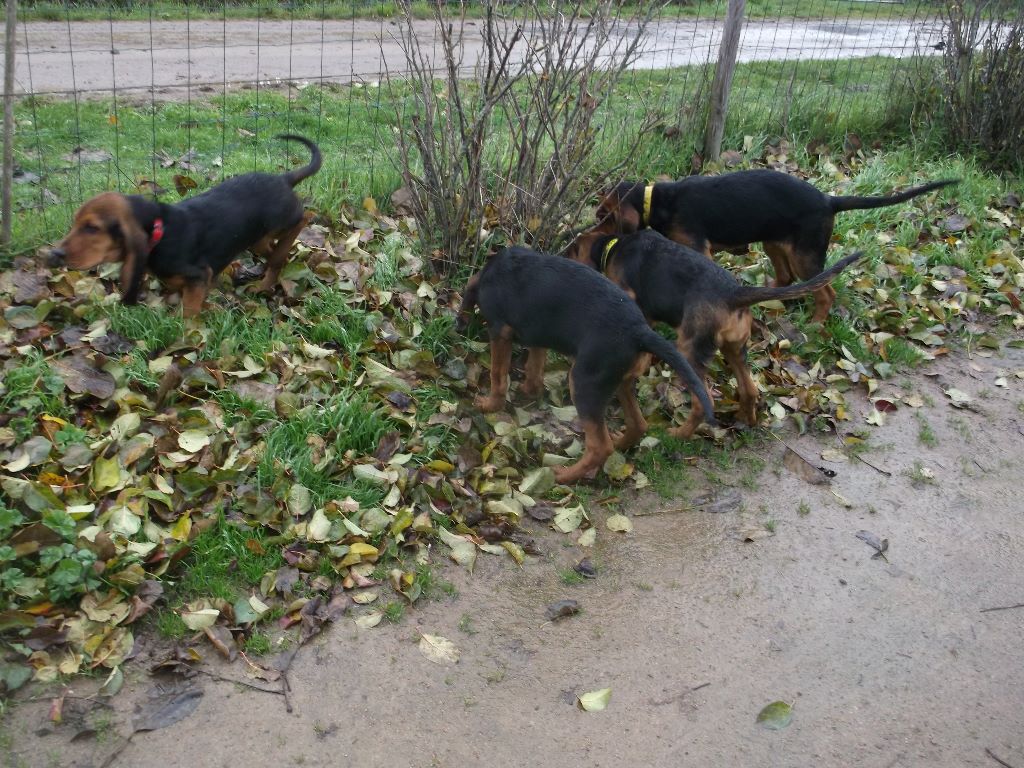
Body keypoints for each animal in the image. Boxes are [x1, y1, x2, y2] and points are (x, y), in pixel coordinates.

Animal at [48, 134, 317, 317]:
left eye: (92, 228)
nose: (55, 254)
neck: (160, 231)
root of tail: (283, 178)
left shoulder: (198, 275)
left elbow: (189, 312)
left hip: (281, 221)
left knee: (302, 219)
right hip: (258, 237)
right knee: (274, 254)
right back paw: (269, 275)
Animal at [460, 246, 716, 483]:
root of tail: (639, 331)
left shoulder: (500, 331)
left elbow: (498, 374)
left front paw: (489, 405)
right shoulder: (540, 334)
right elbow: (535, 367)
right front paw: (529, 391)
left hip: (584, 383)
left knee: (600, 447)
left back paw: (564, 475)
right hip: (619, 381)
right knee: (637, 424)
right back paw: (620, 442)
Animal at [569, 231, 864, 438]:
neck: (614, 246)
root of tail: (734, 293)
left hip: (691, 350)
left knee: (704, 402)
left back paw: (678, 434)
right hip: (734, 347)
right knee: (749, 389)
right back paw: (747, 421)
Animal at [589, 169, 954, 319]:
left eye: (605, 215)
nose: (591, 230)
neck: (662, 200)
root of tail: (829, 201)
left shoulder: (698, 247)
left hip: (806, 255)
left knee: (824, 292)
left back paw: (815, 326)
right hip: (775, 244)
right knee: (785, 279)